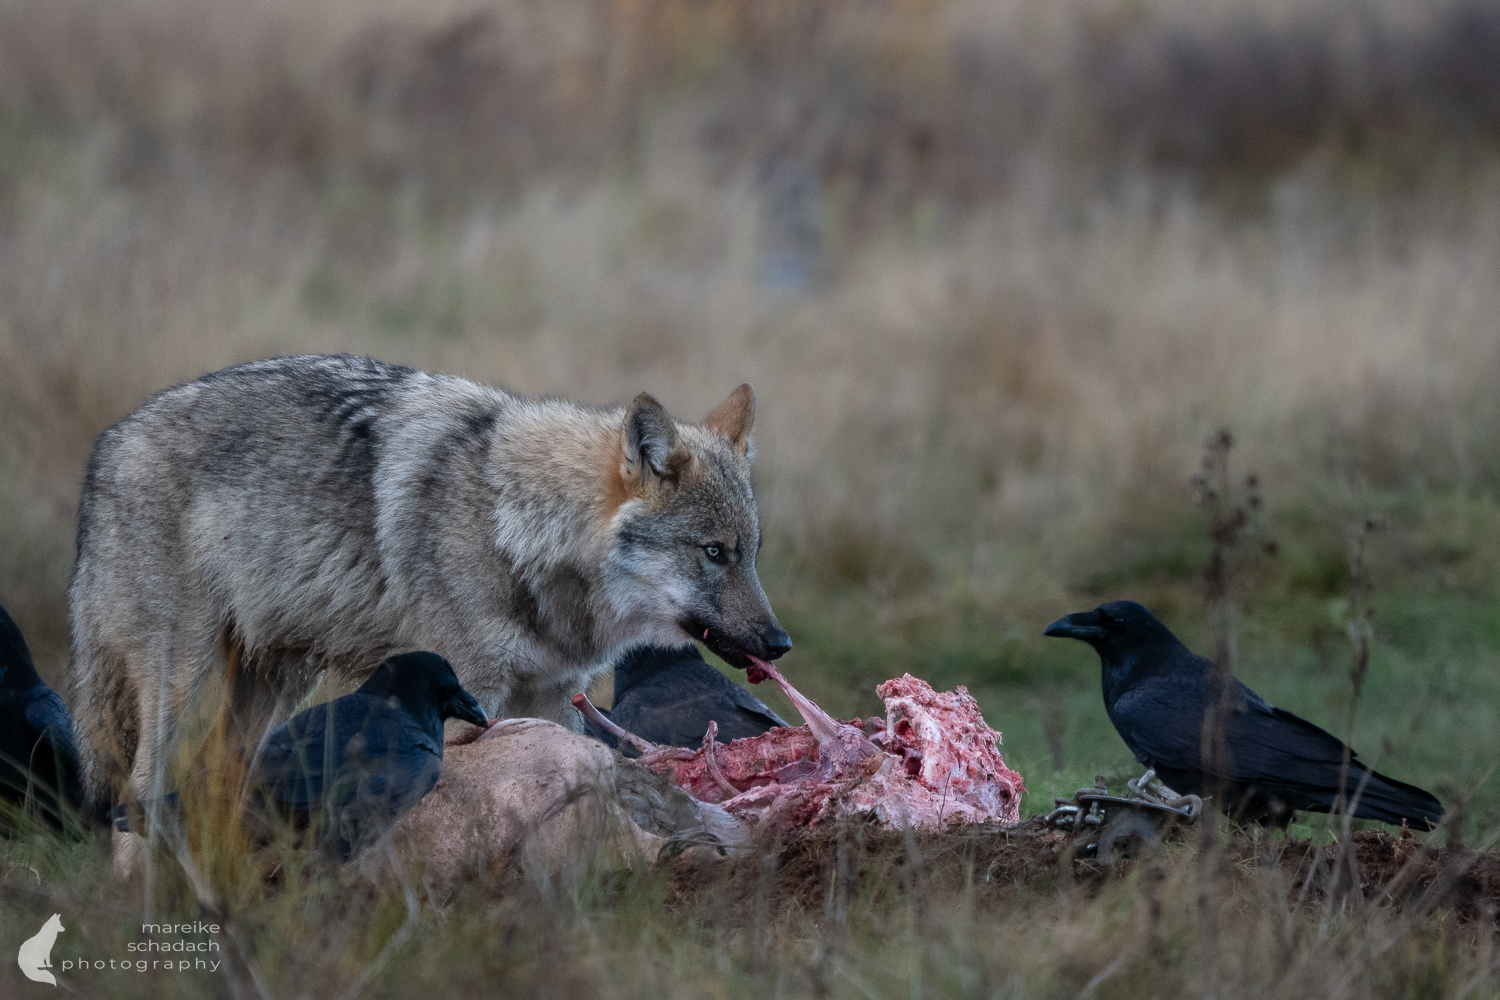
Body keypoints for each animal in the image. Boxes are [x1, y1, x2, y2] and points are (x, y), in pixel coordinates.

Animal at [68, 354, 790, 864]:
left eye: (752, 553)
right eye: (714, 553)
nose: (780, 643)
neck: (519, 527)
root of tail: (106, 446)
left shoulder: (552, 696)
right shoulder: (470, 690)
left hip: (273, 689)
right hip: (182, 685)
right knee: (137, 790)